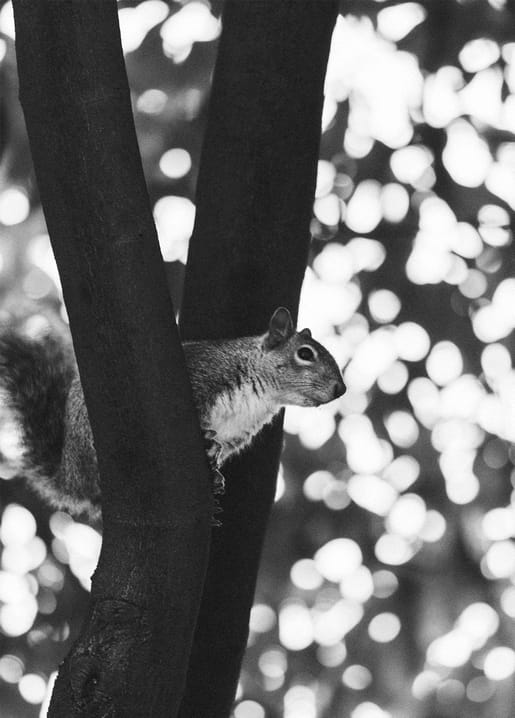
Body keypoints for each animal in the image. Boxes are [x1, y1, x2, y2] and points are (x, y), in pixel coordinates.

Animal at [0, 307, 345, 521]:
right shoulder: (201, 376)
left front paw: (216, 475)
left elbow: (221, 452)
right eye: (305, 354)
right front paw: (206, 442)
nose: (341, 389)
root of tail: (71, 476)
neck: (262, 396)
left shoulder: (236, 434)